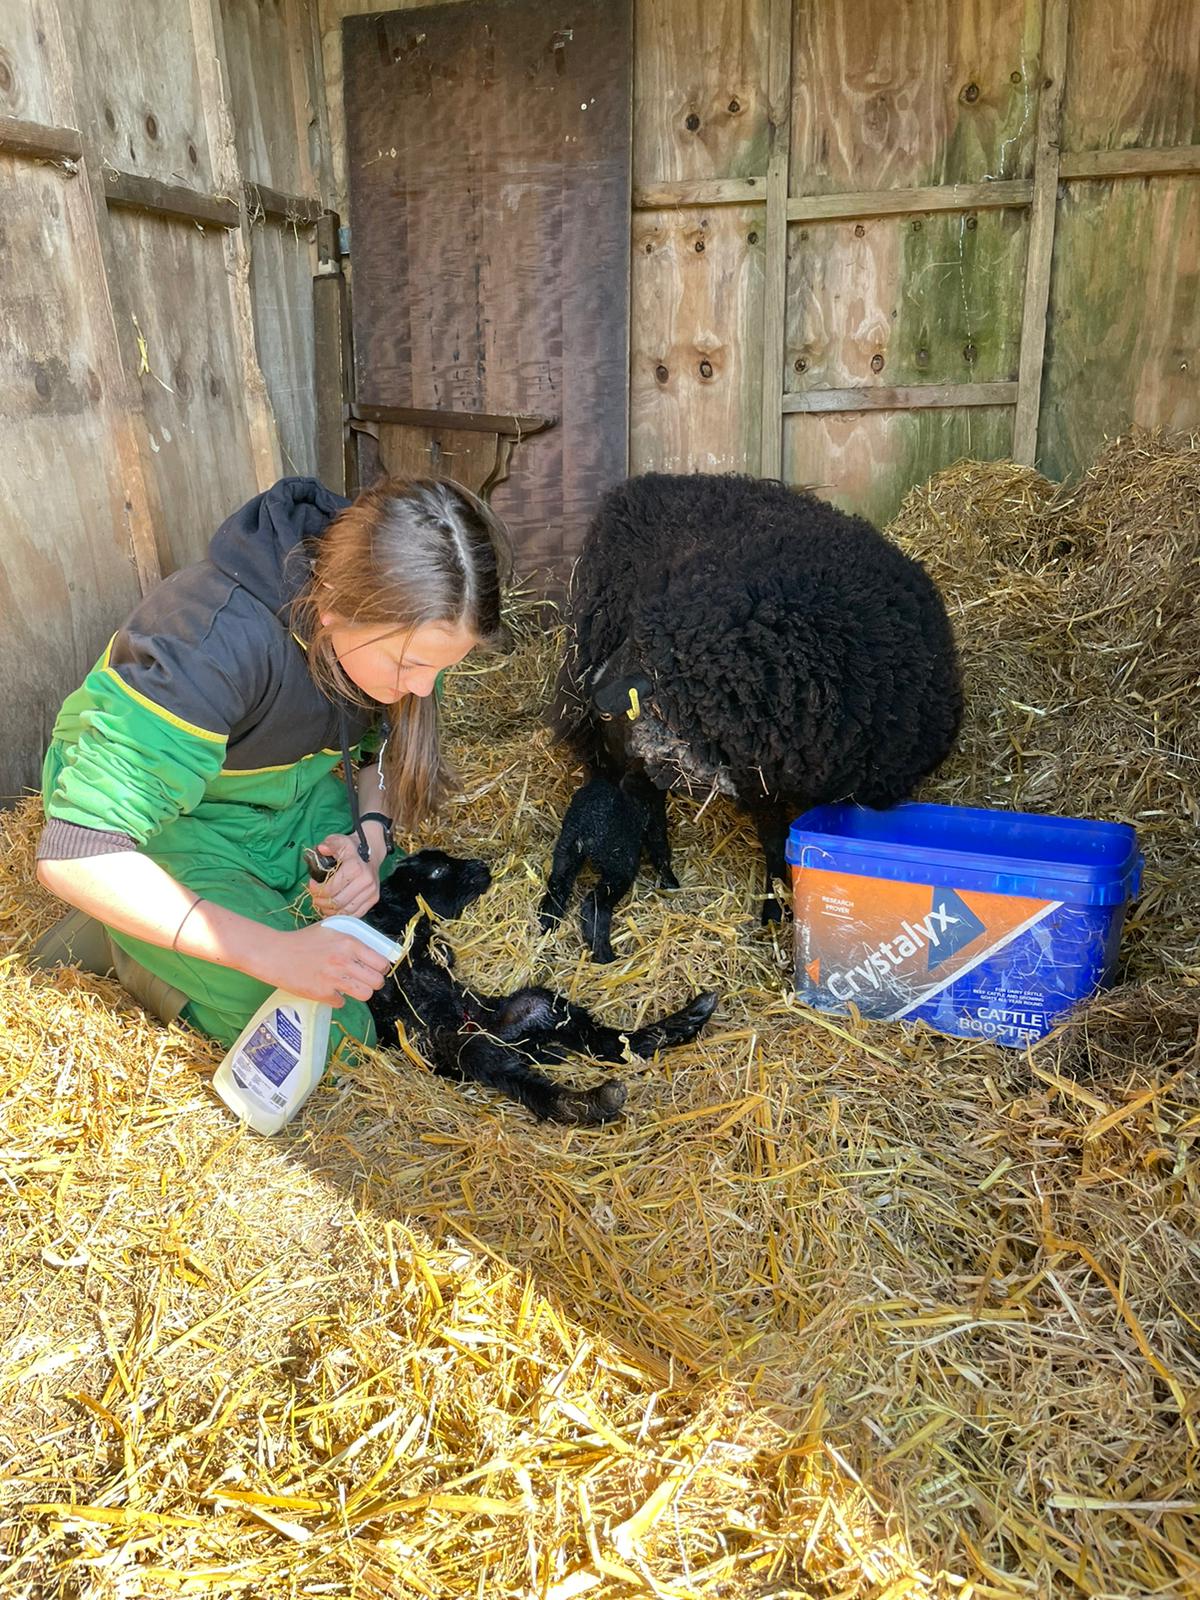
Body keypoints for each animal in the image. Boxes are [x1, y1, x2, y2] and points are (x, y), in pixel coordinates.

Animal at [365, 849, 718, 1124]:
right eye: (438, 870)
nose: (480, 865)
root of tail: (517, 1042)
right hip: (468, 1046)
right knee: (534, 1087)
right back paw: (600, 1100)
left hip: (534, 1008)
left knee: (604, 1042)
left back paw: (689, 1019)